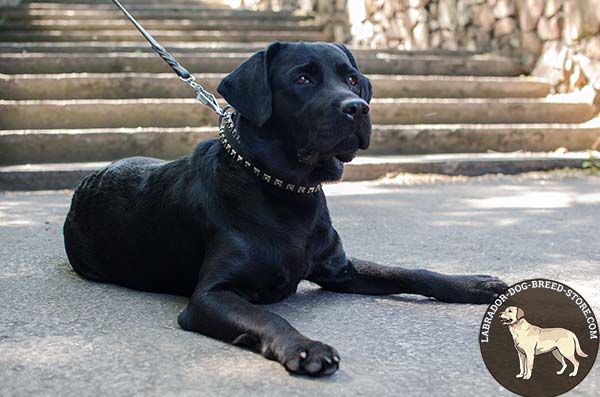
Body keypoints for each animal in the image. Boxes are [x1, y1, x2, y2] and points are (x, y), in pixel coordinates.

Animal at [64, 41, 506, 376]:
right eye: (302, 78)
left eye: (351, 78)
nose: (357, 108)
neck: (289, 192)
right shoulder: (210, 295)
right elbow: (267, 317)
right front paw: (305, 347)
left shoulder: (340, 268)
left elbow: (406, 270)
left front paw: (473, 284)